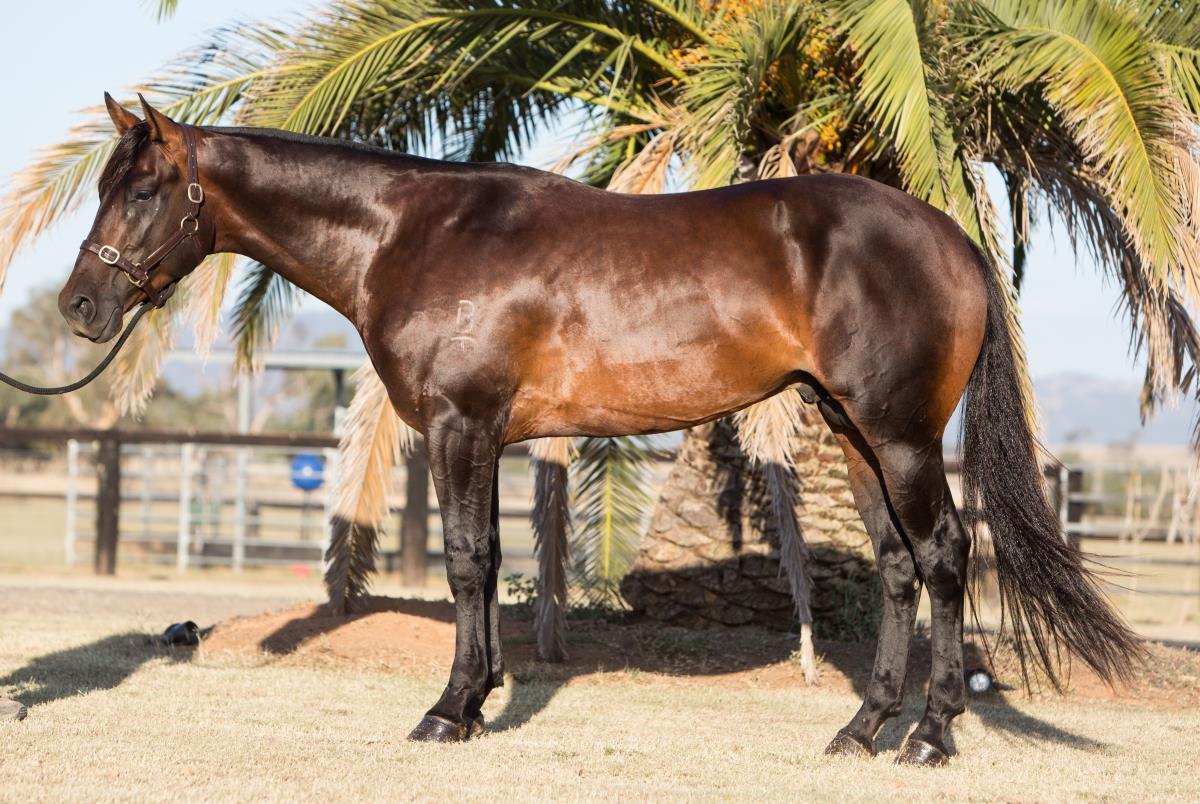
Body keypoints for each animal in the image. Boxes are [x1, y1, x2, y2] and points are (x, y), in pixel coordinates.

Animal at [58, 94, 1141, 766]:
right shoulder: (484, 438)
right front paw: (480, 698)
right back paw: (862, 730)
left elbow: (465, 563)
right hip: (852, 434)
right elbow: (489, 562)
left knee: (947, 555)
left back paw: (929, 736)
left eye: (143, 190)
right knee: (898, 567)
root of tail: (947, 234)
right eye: (106, 187)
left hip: (903, 436)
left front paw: (450, 711)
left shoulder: (460, 427)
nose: (78, 306)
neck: (415, 234)